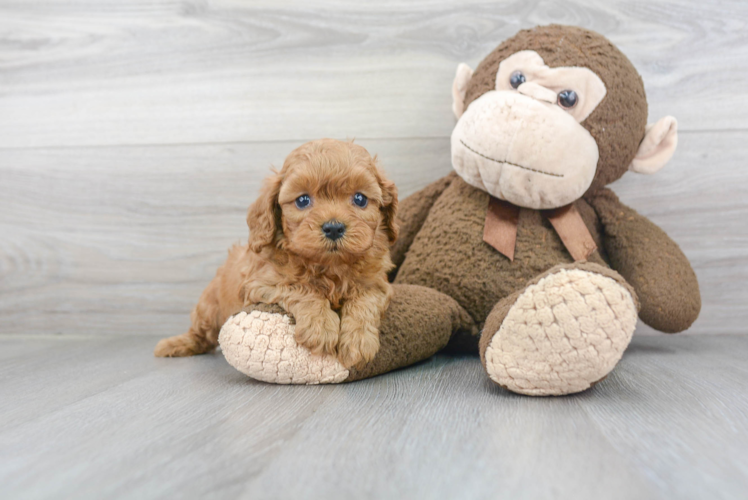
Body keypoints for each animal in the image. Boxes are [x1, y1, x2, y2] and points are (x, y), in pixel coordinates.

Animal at [152, 140, 398, 368]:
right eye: (302, 200)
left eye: (360, 199)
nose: (334, 228)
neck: (330, 265)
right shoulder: (260, 284)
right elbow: (303, 289)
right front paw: (320, 327)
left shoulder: (377, 284)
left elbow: (364, 300)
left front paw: (358, 341)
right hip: (208, 307)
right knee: (201, 334)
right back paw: (174, 345)